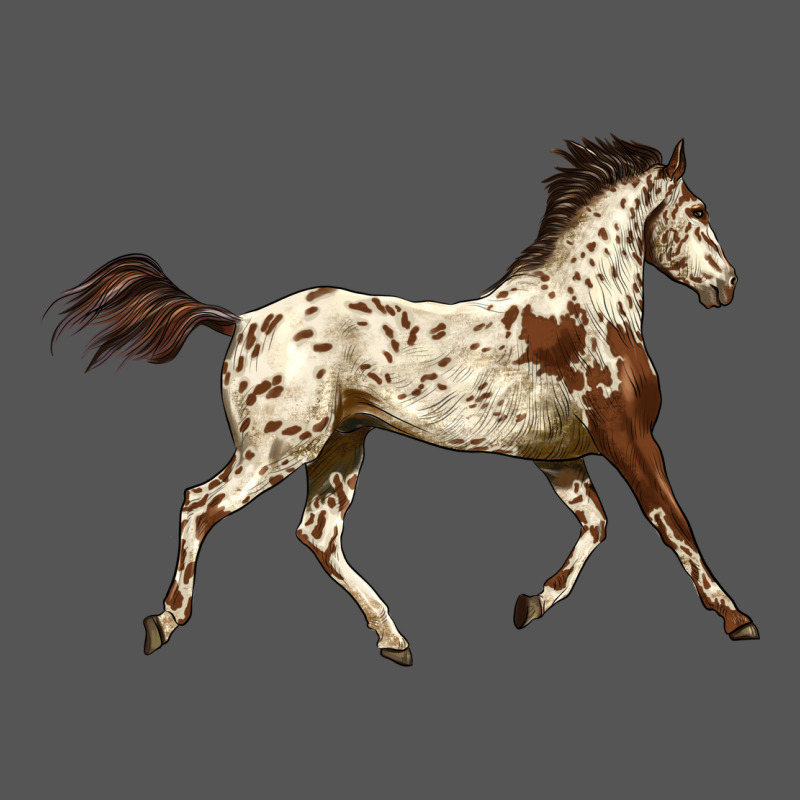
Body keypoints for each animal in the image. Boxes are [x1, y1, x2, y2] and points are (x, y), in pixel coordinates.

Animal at [49, 136, 759, 666]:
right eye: (699, 209)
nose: (727, 285)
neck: (586, 309)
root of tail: (241, 321)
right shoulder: (629, 440)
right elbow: (674, 526)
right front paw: (737, 618)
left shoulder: (560, 458)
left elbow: (597, 527)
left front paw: (531, 605)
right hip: (277, 449)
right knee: (199, 505)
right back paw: (164, 622)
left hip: (339, 448)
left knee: (317, 534)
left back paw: (393, 638)